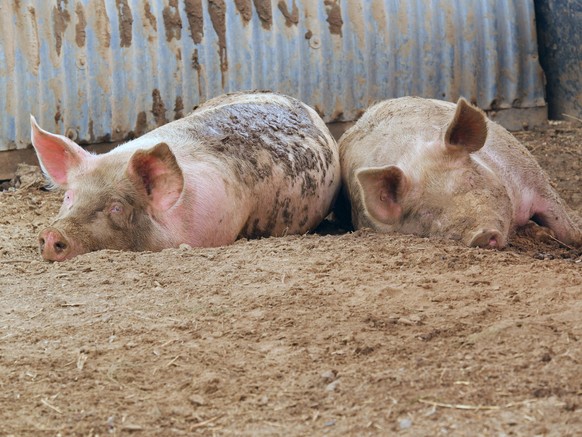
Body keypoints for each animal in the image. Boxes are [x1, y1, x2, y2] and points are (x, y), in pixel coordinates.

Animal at [338, 96, 582, 247]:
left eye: (471, 179)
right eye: (427, 212)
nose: (481, 235)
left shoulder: (532, 180)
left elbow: (564, 225)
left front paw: (576, 236)